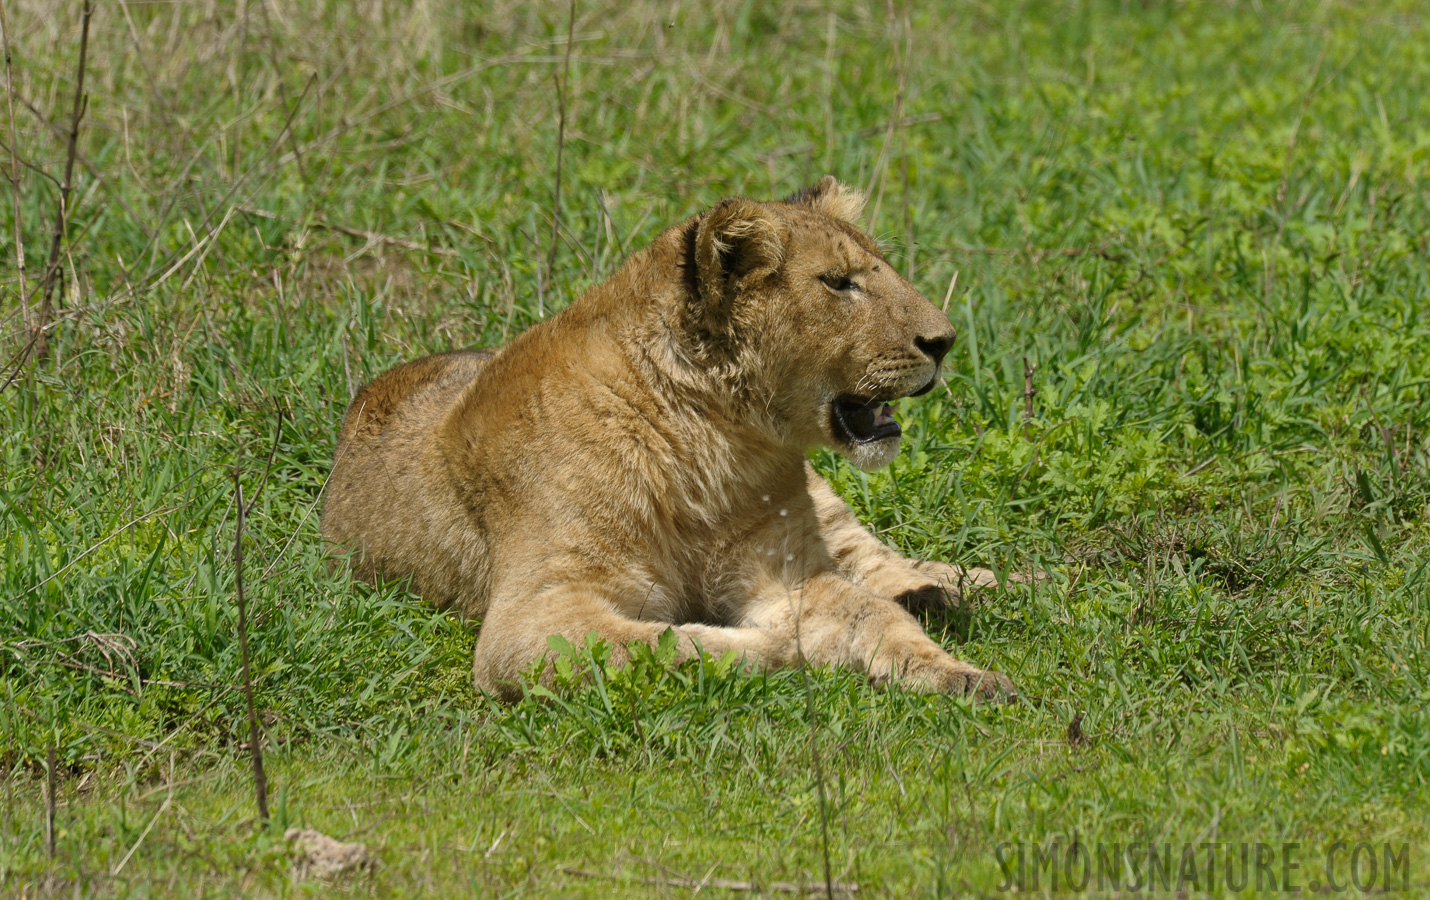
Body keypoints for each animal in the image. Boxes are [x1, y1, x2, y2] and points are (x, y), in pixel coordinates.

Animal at [324, 171, 1018, 698]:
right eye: (839, 282)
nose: (945, 341)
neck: (713, 444)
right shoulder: (532, 615)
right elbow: (669, 644)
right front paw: (781, 648)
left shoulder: (787, 568)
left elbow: (869, 612)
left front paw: (964, 675)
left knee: (878, 562)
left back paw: (983, 587)